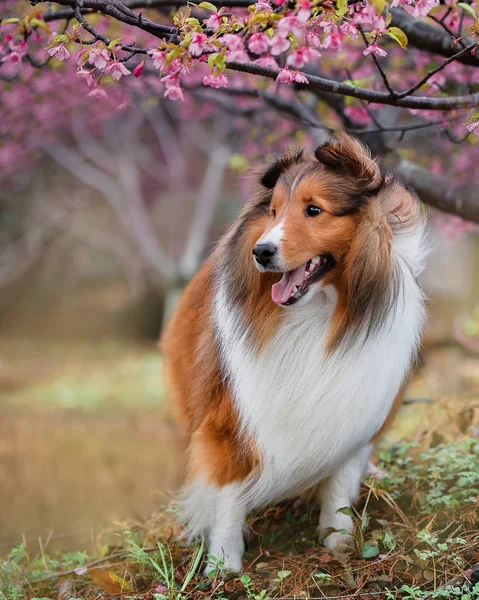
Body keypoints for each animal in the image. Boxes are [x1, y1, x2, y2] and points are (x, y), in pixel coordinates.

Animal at [162, 131, 428, 572]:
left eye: (314, 209)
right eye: (272, 212)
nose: (261, 251)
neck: (313, 314)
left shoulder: (356, 410)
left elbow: (339, 481)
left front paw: (339, 541)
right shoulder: (230, 418)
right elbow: (229, 494)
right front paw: (223, 562)